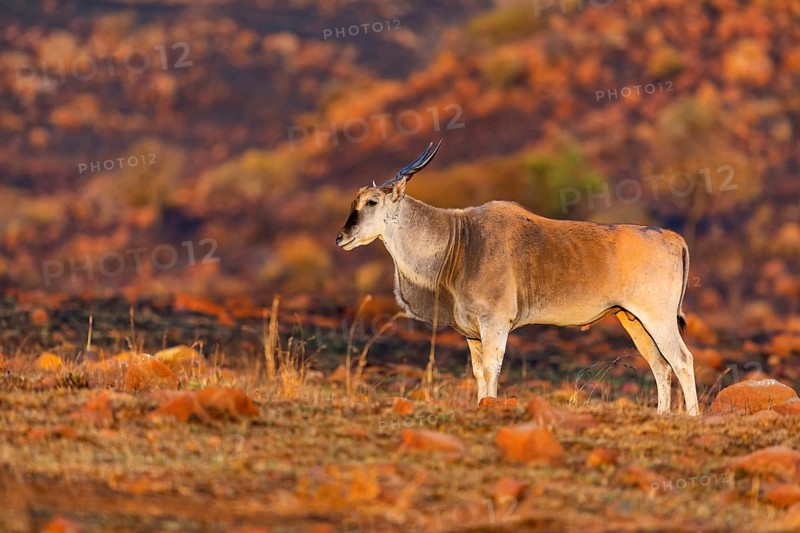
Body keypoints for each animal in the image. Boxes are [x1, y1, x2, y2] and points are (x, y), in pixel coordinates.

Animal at [336, 141, 699, 415]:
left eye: (371, 202)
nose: (341, 238)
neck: (459, 239)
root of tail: (673, 238)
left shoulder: (495, 323)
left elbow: (491, 368)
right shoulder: (473, 333)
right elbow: (478, 372)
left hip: (657, 318)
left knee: (682, 360)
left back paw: (692, 417)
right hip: (633, 320)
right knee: (660, 365)